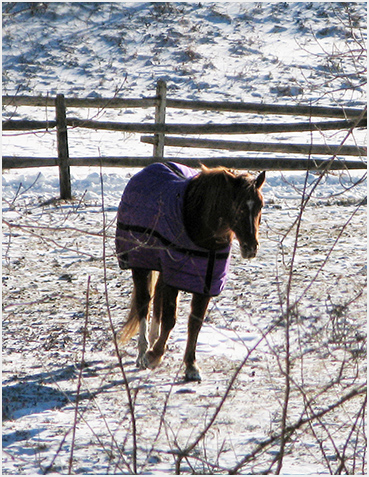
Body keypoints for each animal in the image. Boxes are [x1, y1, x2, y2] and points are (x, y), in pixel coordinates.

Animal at [115, 162, 264, 382]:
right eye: (237, 206)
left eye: (260, 205)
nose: (251, 248)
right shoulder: (173, 278)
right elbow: (170, 319)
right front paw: (154, 354)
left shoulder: (205, 284)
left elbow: (195, 323)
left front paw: (190, 365)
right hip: (141, 267)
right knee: (144, 303)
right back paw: (143, 353)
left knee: (156, 301)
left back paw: (152, 341)